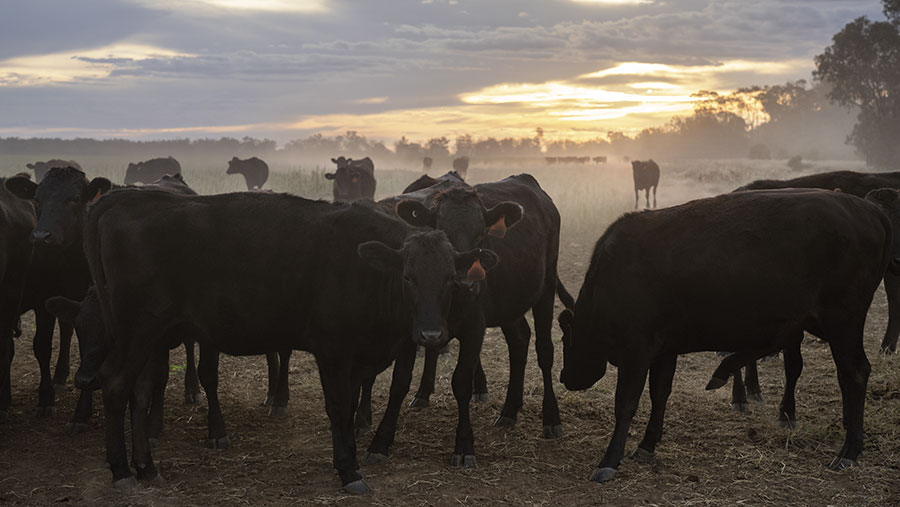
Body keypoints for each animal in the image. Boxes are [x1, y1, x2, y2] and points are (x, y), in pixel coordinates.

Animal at [356, 177, 568, 470]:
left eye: (481, 235)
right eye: (444, 232)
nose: (468, 282)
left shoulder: (475, 327)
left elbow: (461, 382)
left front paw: (465, 445)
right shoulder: (412, 329)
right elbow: (399, 382)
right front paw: (380, 442)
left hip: (546, 288)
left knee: (545, 351)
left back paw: (551, 419)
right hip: (509, 303)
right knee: (519, 341)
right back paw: (510, 410)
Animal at [560, 190, 888, 484]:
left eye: (565, 340)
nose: (565, 377)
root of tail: (869, 210)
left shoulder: (636, 350)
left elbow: (625, 404)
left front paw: (609, 461)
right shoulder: (665, 349)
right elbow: (659, 394)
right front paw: (647, 444)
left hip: (842, 320)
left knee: (854, 373)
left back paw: (849, 450)